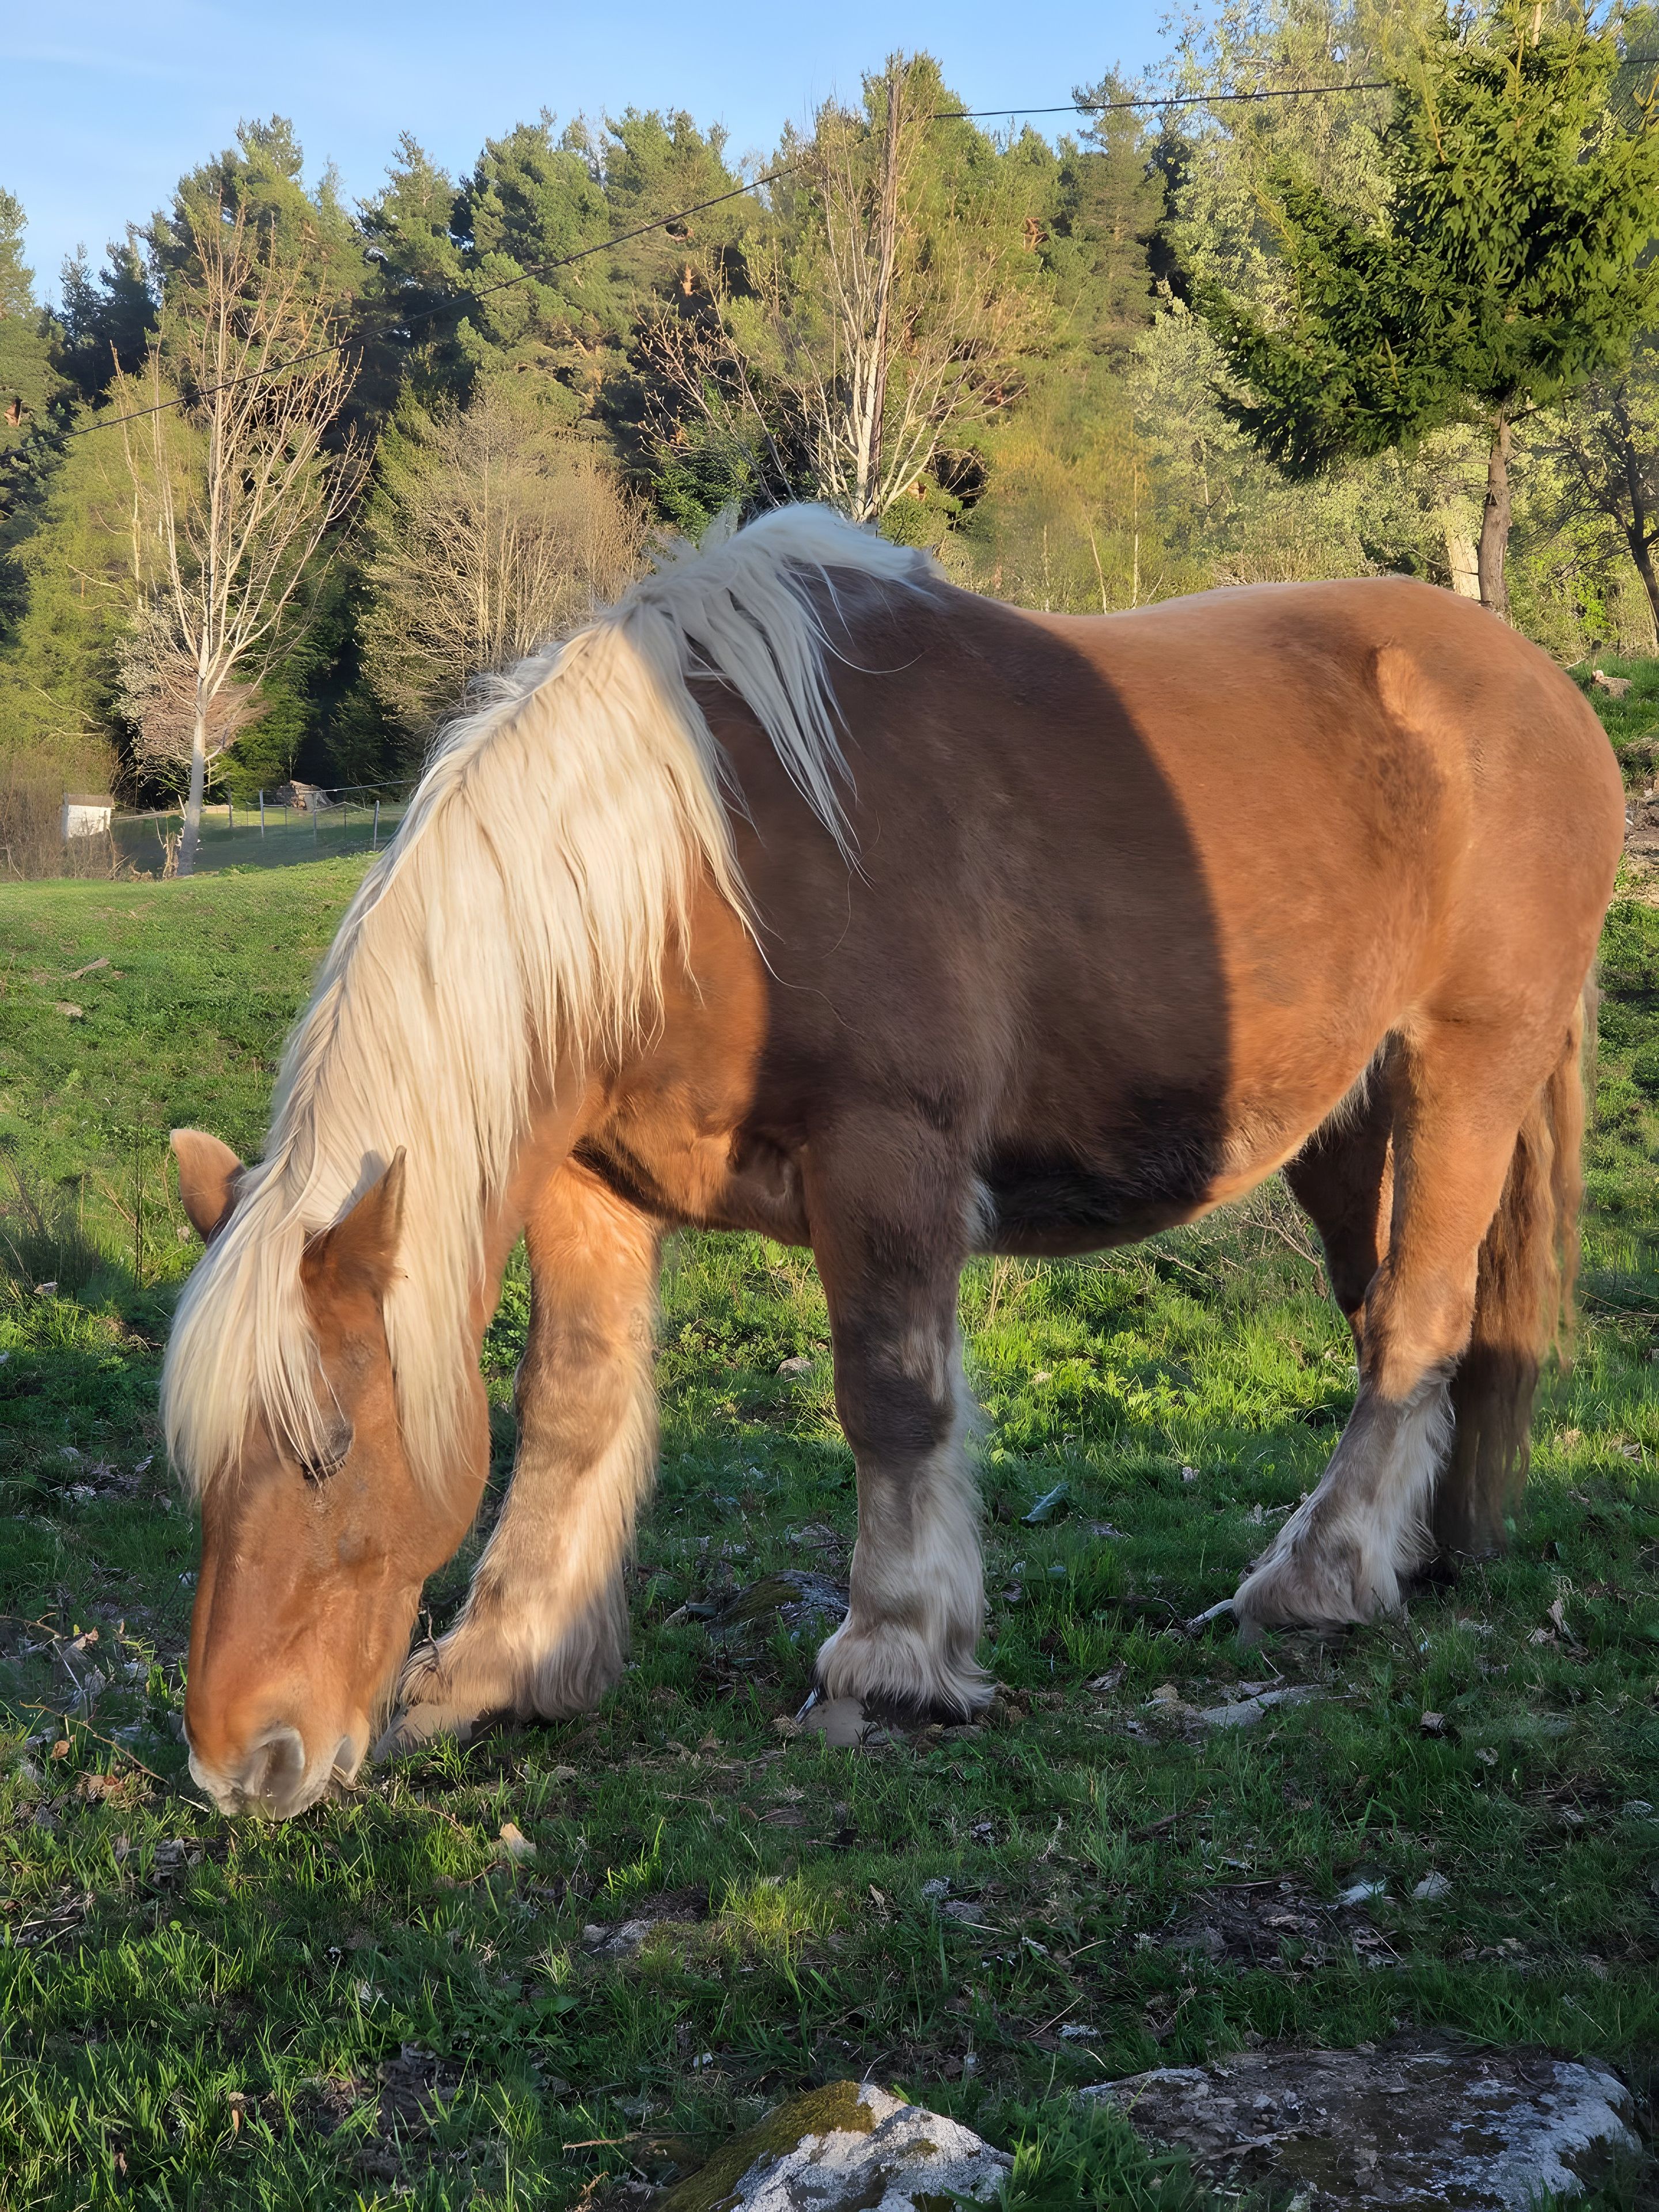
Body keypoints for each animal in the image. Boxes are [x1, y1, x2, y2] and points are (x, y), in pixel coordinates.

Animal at [161, 505, 1623, 1819]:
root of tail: (1543, 690)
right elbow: (570, 1408)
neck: (707, 862)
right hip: (1344, 1118)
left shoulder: (886, 1159)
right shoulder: (589, 1186)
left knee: (1417, 1317)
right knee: (1394, 1317)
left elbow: (892, 1401)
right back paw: (1406, 1555)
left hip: (1465, 1072)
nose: (242, 1763)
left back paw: (1317, 1582)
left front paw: (894, 1657)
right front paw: (507, 1659)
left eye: (327, 1449)